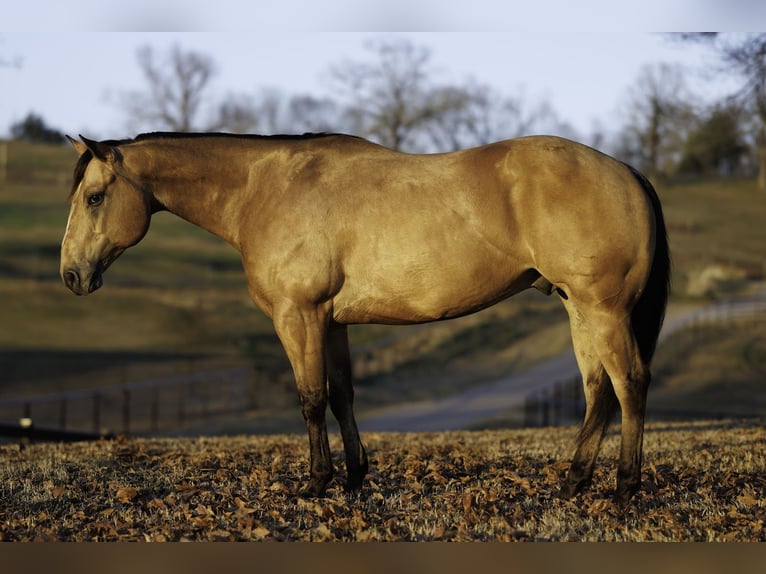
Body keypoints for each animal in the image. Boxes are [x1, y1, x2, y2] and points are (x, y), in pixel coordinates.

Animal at [60, 132, 670, 507]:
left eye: (94, 198)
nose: (71, 275)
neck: (264, 190)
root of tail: (627, 171)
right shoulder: (332, 323)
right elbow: (341, 396)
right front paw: (355, 477)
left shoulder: (299, 316)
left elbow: (310, 399)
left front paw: (316, 484)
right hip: (577, 307)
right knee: (598, 391)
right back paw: (573, 483)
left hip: (602, 310)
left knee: (630, 384)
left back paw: (624, 488)